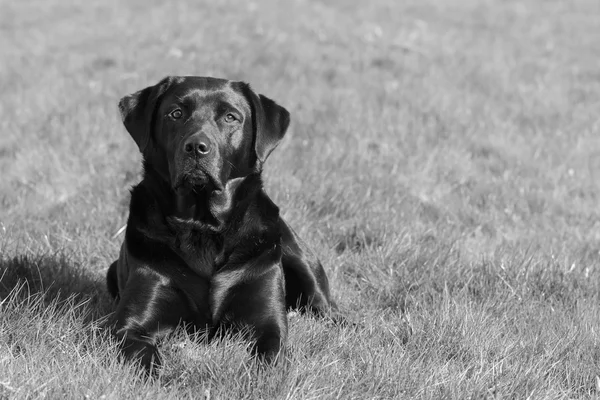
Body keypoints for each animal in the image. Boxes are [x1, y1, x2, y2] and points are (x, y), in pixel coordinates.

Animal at [105, 77, 336, 372]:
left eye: (230, 117)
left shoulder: (269, 324)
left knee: (325, 307)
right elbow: (146, 358)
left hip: (298, 257)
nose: (196, 147)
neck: (204, 226)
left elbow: (268, 358)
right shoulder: (130, 327)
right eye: (176, 113)